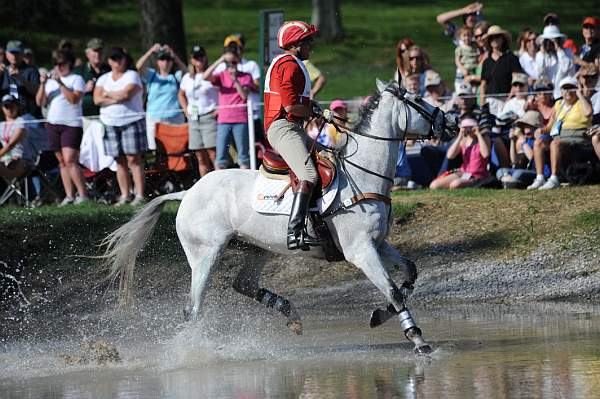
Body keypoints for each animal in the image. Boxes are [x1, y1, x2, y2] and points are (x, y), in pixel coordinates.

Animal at [102, 79, 454, 354]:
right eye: (418, 99)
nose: (451, 122)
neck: (363, 173)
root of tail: (187, 192)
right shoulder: (361, 251)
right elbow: (393, 290)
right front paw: (417, 338)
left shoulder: (378, 244)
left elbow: (409, 273)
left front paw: (381, 314)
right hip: (206, 254)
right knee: (193, 308)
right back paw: (195, 350)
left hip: (255, 248)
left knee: (243, 284)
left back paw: (290, 313)